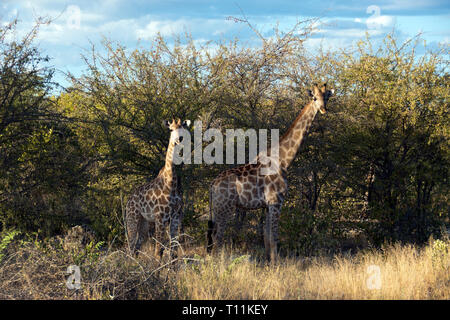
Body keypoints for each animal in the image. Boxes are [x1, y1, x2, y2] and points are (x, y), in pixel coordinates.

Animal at [125, 119, 191, 256]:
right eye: (171, 129)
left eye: (183, 128)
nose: (179, 139)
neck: (171, 183)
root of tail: (128, 200)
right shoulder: (160, 218)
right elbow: (158, 250)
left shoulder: (176, 217)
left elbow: (173, 250)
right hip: (132, 218)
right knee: (131, 246)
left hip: (144, 222)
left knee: (137, 247)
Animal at [207, 84, 334, 262]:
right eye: (314, 98)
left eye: (327, 97)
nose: (323, 109)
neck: (284, 160)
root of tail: (212, 185)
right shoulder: (276, 201)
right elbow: (274, 237)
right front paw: (277, 265)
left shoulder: (267, 205)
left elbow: (266, 238)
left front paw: (270, 263)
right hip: (224, 207)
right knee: (217, 237)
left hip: (217, 208)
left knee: (213, 237)